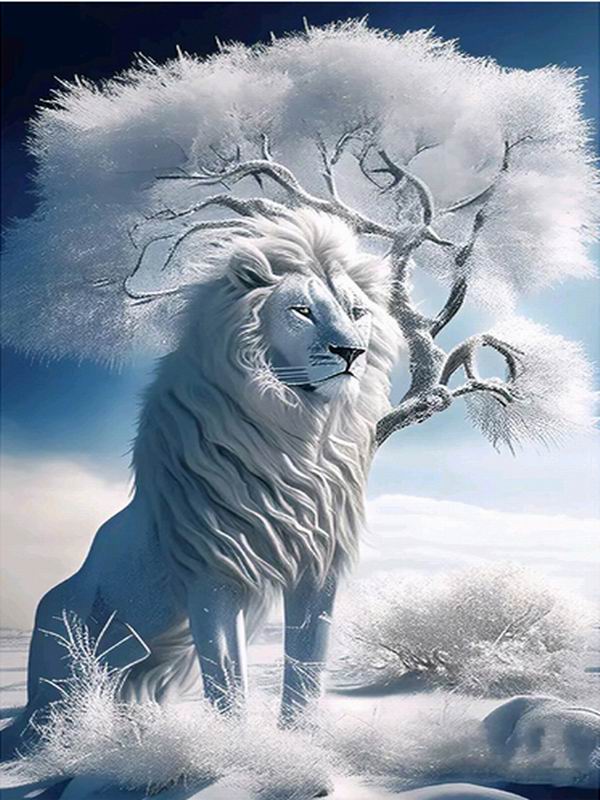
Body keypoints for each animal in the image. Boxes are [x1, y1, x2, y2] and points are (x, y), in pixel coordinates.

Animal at [1, 208, 401, 761]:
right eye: (301, 310)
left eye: (356, 312)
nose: (351, 352)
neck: (294, 432)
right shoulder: (214, 576)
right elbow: (227, 682)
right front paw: (235, 754)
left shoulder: (317, 570)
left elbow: (307, 669)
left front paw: (303, 744)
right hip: (65, 667)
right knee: (54, 718)